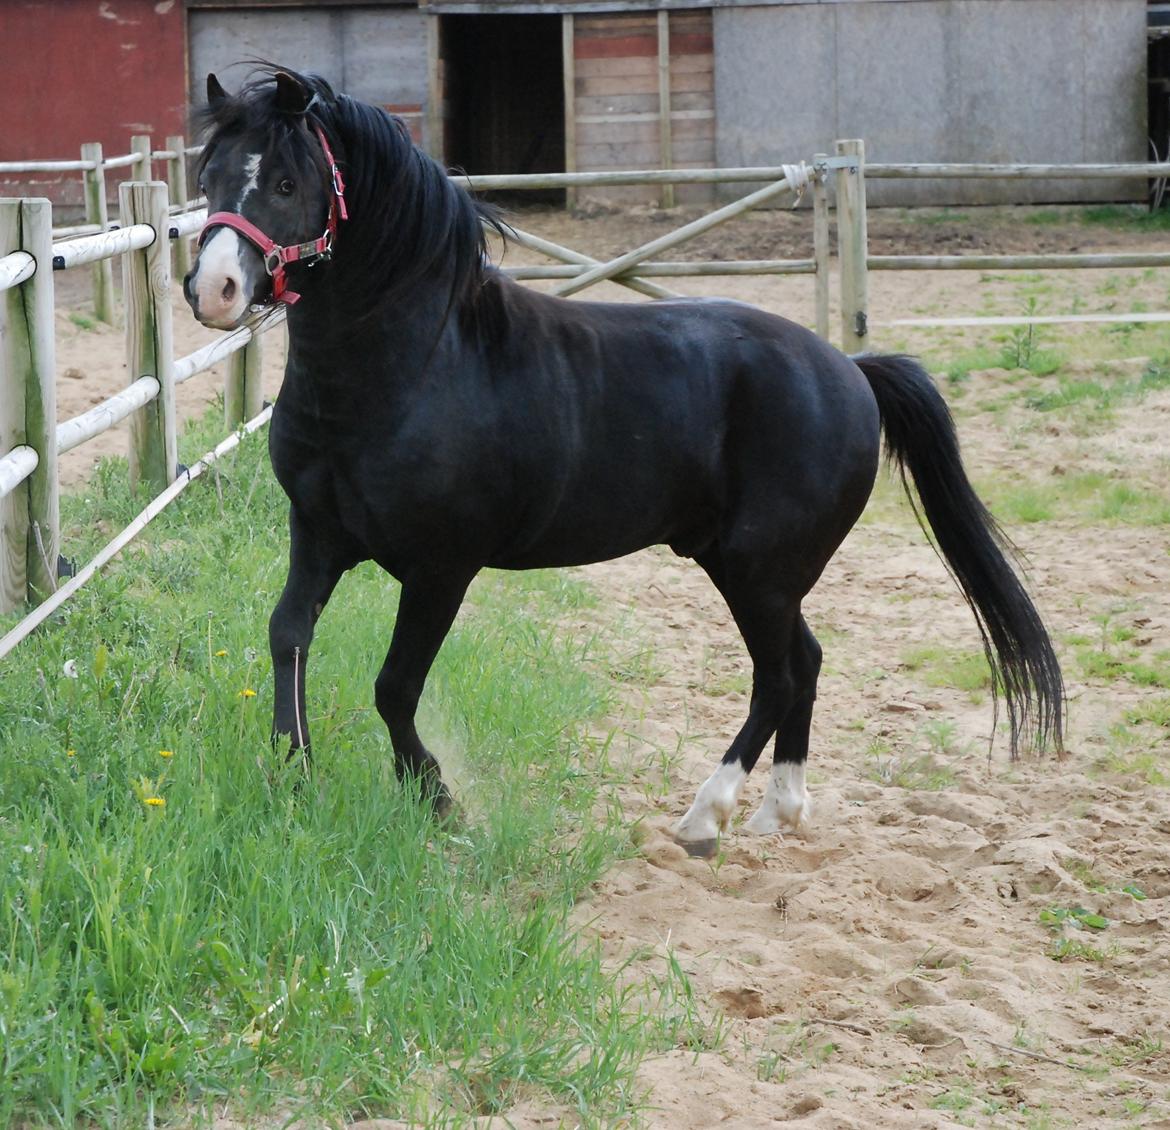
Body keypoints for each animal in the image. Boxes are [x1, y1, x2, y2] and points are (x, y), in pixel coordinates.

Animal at [184, 66, 1062, 851]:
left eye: (288, 182)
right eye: (210, 176)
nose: (214, 289)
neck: (416, 364)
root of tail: (852, 372)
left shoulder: (440, 568)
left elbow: (395, 688)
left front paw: (438, 801)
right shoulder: (320, 533)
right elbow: (288, 635)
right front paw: (292, 773)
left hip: (760, 570)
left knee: (778, 676)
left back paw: (704, 818)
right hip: (755, 569)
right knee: (805, 663)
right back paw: (778, 812)